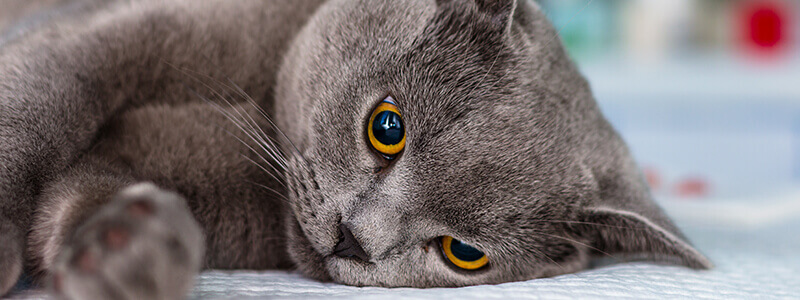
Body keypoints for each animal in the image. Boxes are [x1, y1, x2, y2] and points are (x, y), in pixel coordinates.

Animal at [0, 0, 712, 298]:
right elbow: (38, 99)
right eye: (387, 127)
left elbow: (87, 191)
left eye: (464, 253)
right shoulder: (96, 34)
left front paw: (126, 255)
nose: (354, 238)